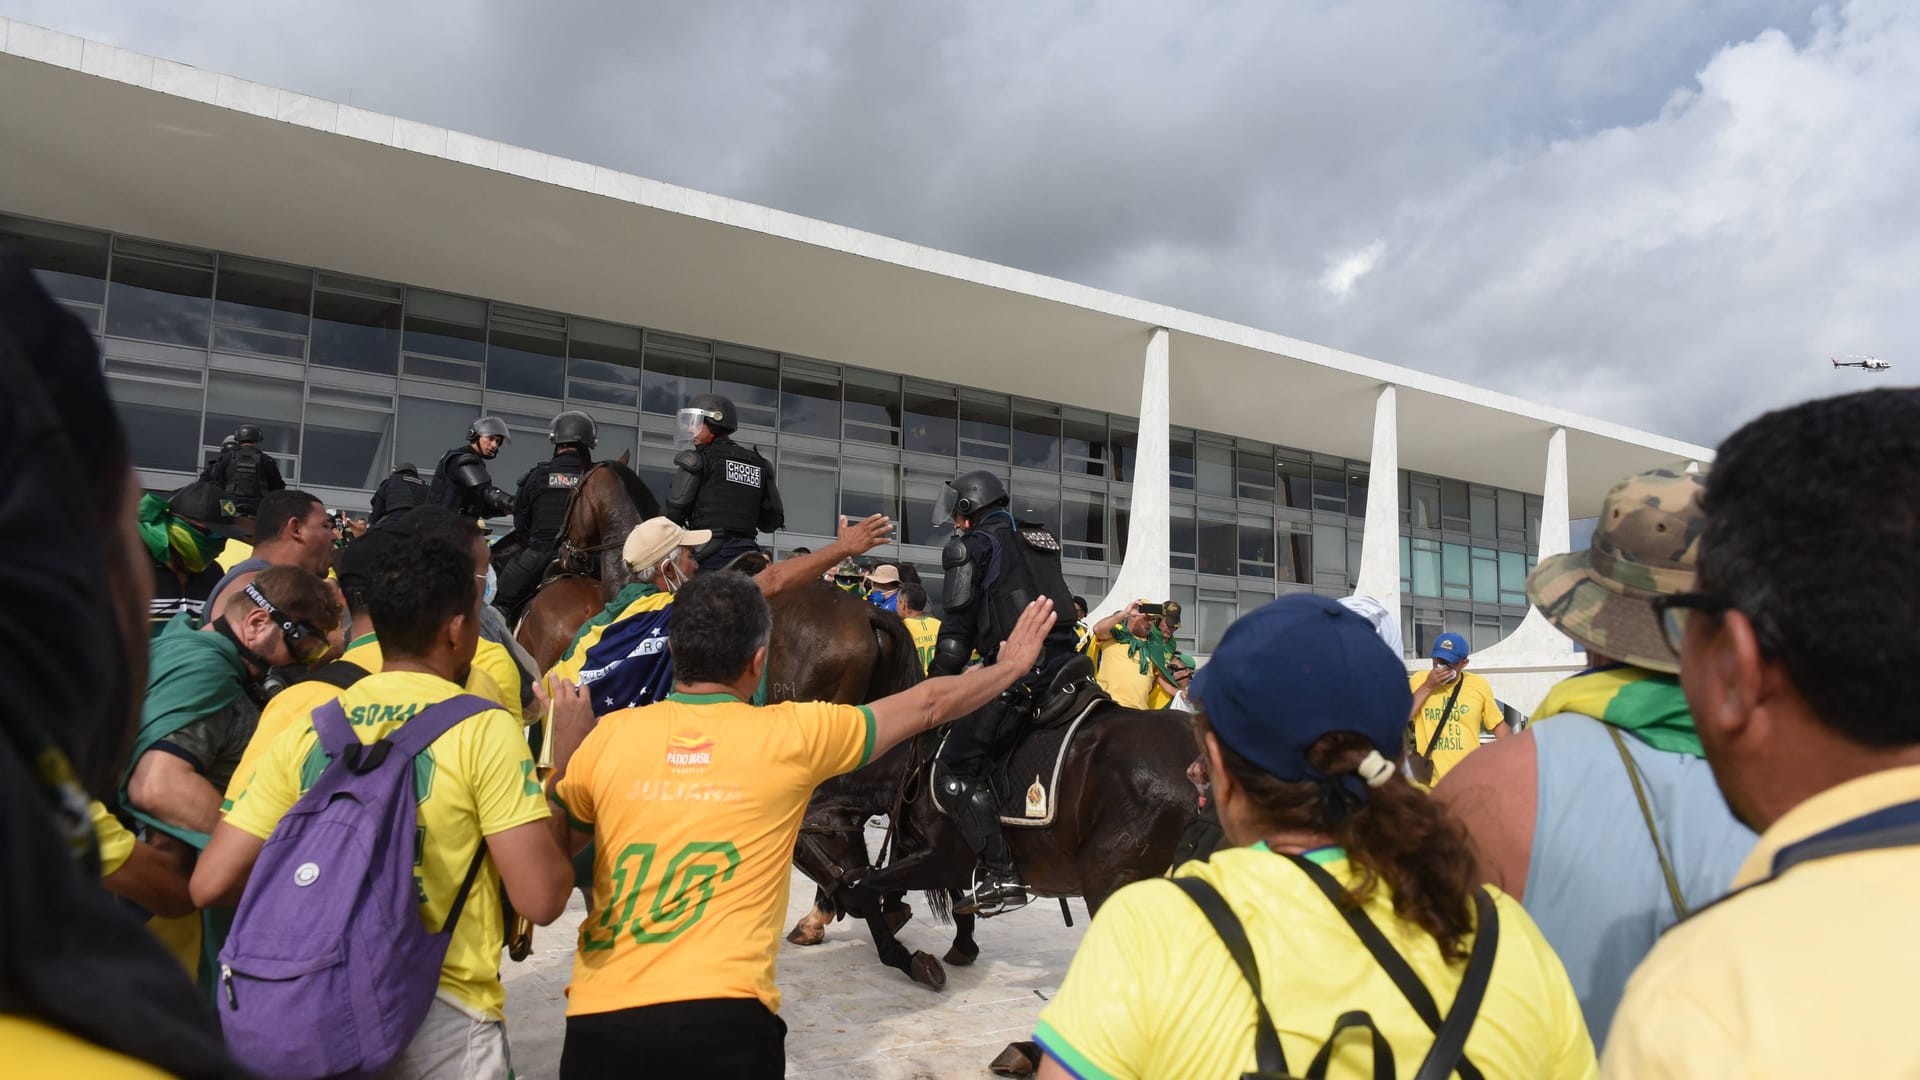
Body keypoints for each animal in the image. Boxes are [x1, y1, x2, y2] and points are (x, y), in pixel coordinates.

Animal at [787, 691, 1190, 991]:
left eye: (803, 851)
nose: (845, 903)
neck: (917, 765)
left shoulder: (941, 858)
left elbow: (874, 888)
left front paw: (909, 959)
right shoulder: (949, 858)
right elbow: (956, 898)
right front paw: (962, 944)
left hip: (1112, 881)